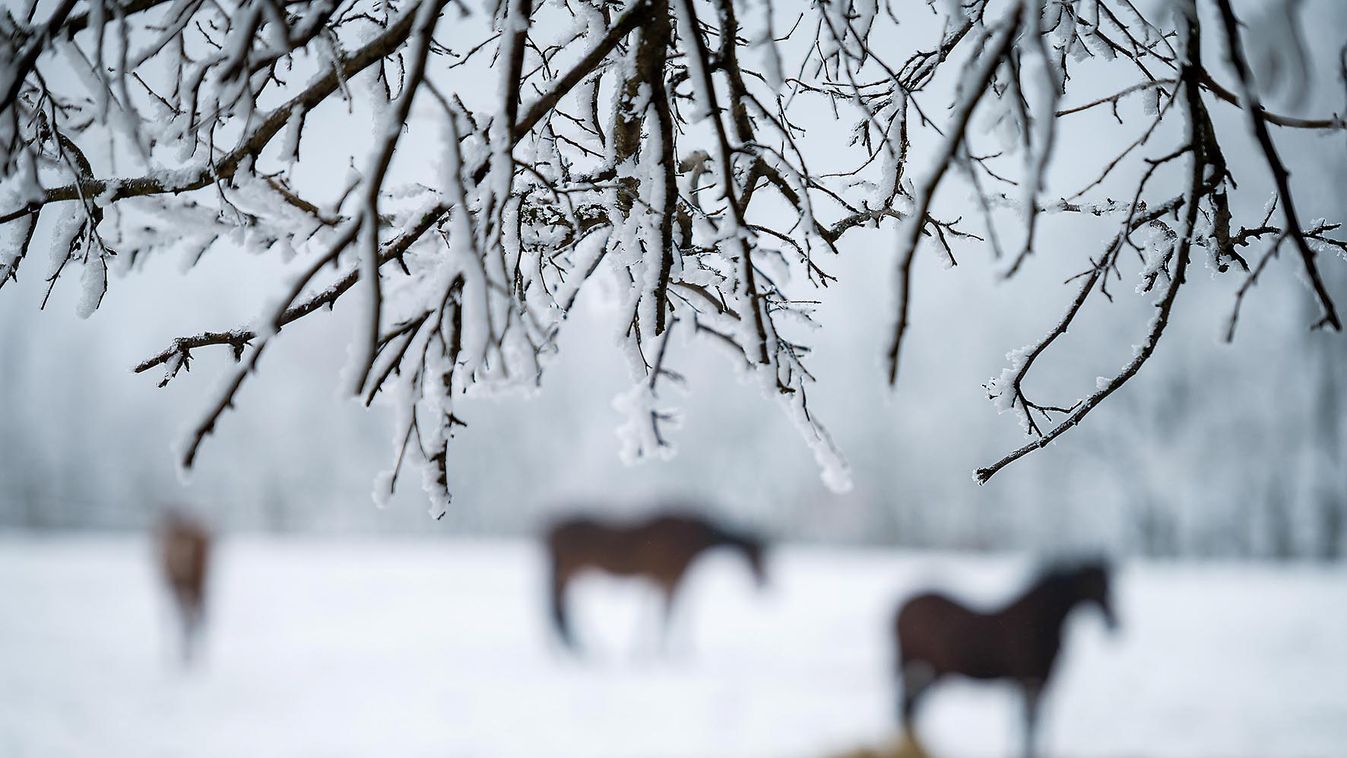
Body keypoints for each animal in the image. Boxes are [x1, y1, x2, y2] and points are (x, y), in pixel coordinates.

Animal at [538, 508, 765, 651]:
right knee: (558, 608)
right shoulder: (670, 575)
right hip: (568, 571)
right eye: (757, 553)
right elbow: (667, 613)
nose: (764, 582)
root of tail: (551, 530)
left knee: (558, 609)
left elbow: (661, 611)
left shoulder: (664, 577)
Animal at [894, 557, 1115, 758]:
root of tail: (902, 607)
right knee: (908, 707)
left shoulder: (1038, 681)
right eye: (1095, 586)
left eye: (1109, 582)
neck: (1041, 622)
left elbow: (1032, 722)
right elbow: (1029, 723)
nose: (1114, 624)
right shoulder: (1029, 679)